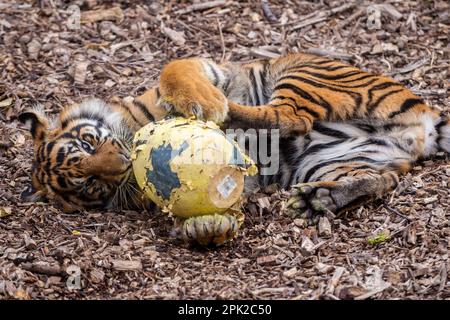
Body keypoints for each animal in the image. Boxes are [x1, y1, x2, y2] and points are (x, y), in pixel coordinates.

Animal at [20, 53, 450, 228]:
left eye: (89, 142)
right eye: (90, 183)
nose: (124, 164)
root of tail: (425, 119)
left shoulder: (204, 68)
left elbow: (172, 70)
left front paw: (203, 104)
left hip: (301, 70)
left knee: (289, 116)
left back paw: (224, 112)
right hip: (336, 160)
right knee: (380, 179)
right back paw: (318, 198)